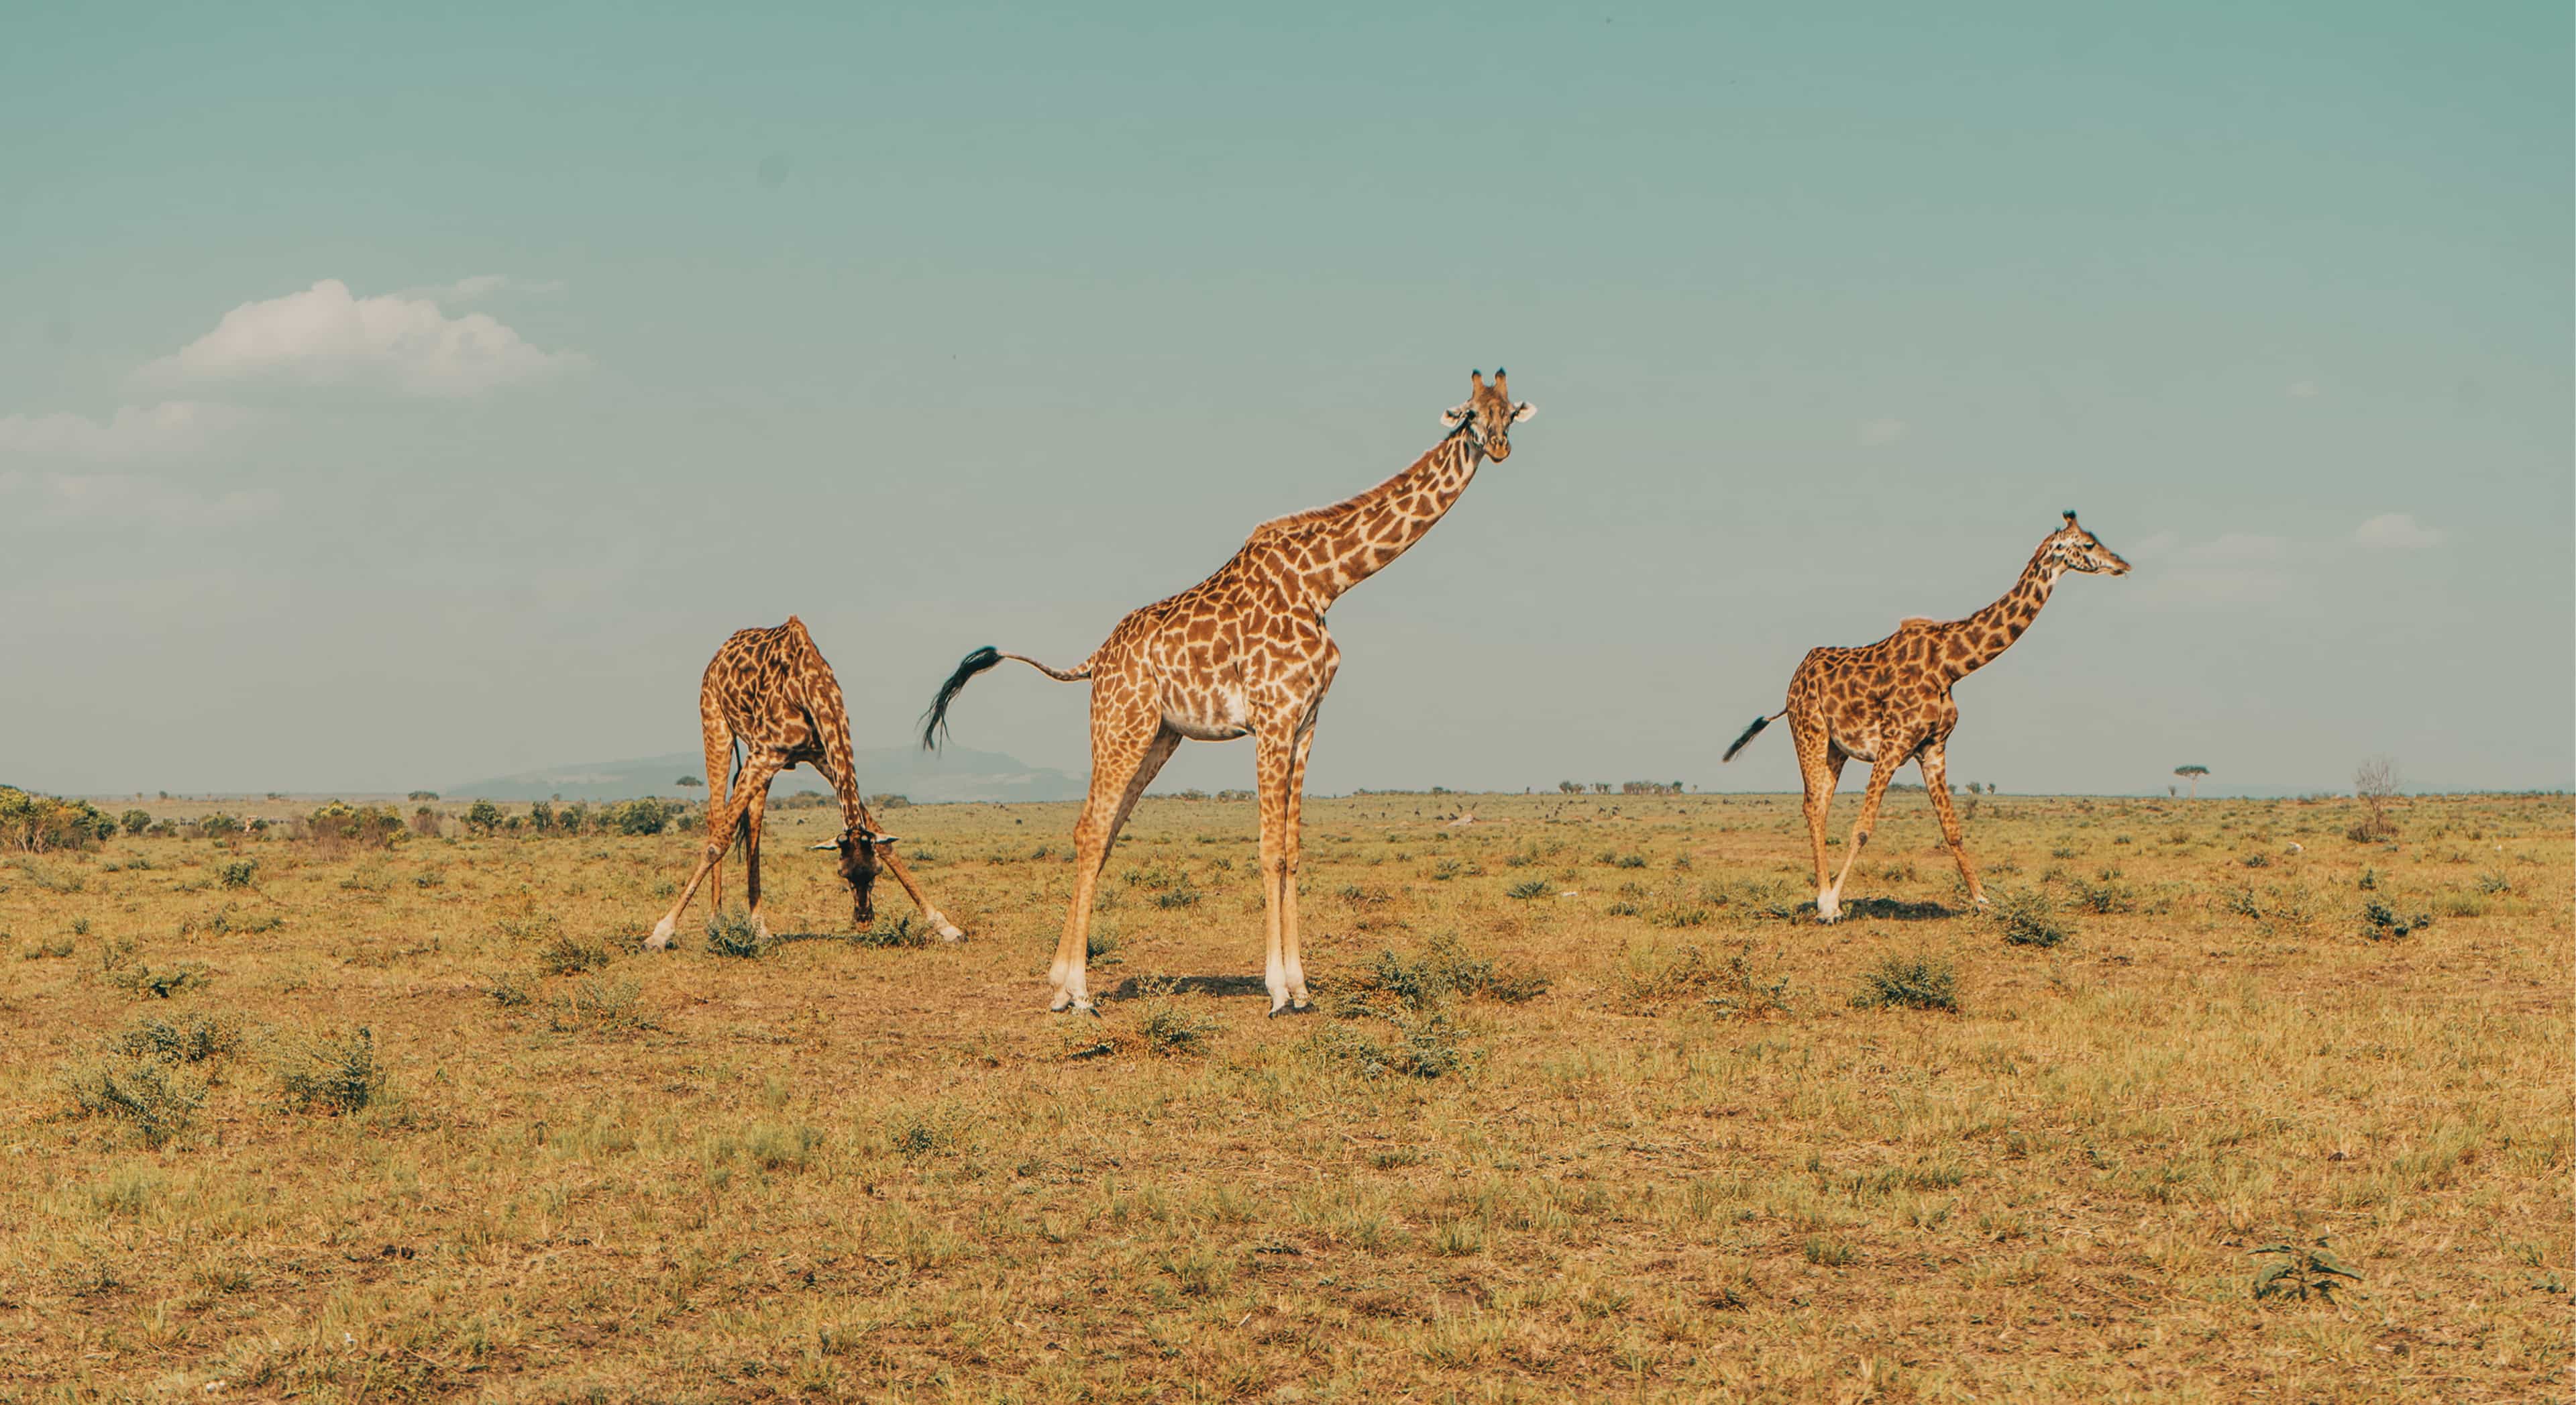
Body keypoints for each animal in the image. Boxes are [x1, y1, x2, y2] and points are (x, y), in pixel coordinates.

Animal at [646, 617, 965, 949]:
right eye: (842, 874)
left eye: (875, 871)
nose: (864, 920)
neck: (811, 688)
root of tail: (723, 650)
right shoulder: (765, 753)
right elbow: (716, 843)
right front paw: (660, 932)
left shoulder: (821, 756)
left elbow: (883, 839)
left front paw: (946, 926)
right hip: (715, 721)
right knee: (717, 817)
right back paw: (716, 921)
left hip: (757, 757)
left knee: (754, 823)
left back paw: (759, 926)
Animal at [920, 369, 1535, 1014]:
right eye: (1470, 414)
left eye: (1508, 412)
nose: (1498, 446)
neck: (1325, 582)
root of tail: (1096, 659)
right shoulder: (1273, 716)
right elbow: (1270, 850)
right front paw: (1278, 991)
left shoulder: (1307, 721)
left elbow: (1293, 849)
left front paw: (1302, 987)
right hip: (1121, 725)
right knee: (1089, 829)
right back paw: (1078, 991)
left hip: (1160, 737)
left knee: (1104, 832)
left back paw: (1061, 986)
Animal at [1721, 511, 2130, 923]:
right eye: (2090, 544)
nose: (2123, 565)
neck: (1950, 665)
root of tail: (1795, 678)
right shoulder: (1893, 742)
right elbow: (1863, 827)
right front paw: (1834, 904)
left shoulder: (1934, 747)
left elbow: (1953, 829)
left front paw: (1983, 901)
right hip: (1810, 731)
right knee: (1811, 806)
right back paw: (1824, 903)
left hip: (1836, 748)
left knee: (1820, 806)